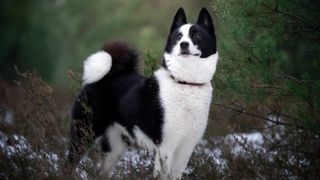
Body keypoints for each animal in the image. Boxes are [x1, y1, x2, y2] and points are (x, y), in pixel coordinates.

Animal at [67, 7, 218, 180]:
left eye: (197, 35)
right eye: (178, 36)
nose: (183, 44)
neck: (185, 83)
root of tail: (108, 75)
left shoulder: (186, 148)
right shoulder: (165, 147)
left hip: (115, 146)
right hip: (84, 133)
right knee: (69, 163)